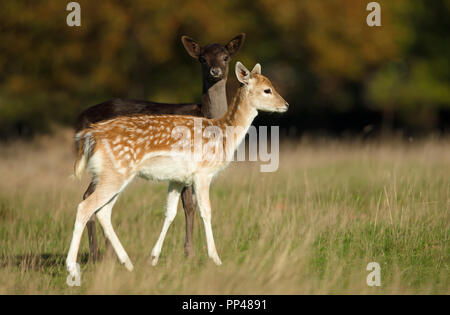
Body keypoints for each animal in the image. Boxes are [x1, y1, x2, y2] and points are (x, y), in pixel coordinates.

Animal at [75, 34, 244, 262]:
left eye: (226, 57)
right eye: (202, 59)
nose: (215, 71)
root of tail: (82, 119)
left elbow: (190, 204)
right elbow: (189, 205)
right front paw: (190, 252)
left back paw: (107, 253)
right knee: (89, 197)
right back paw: (97, 254)